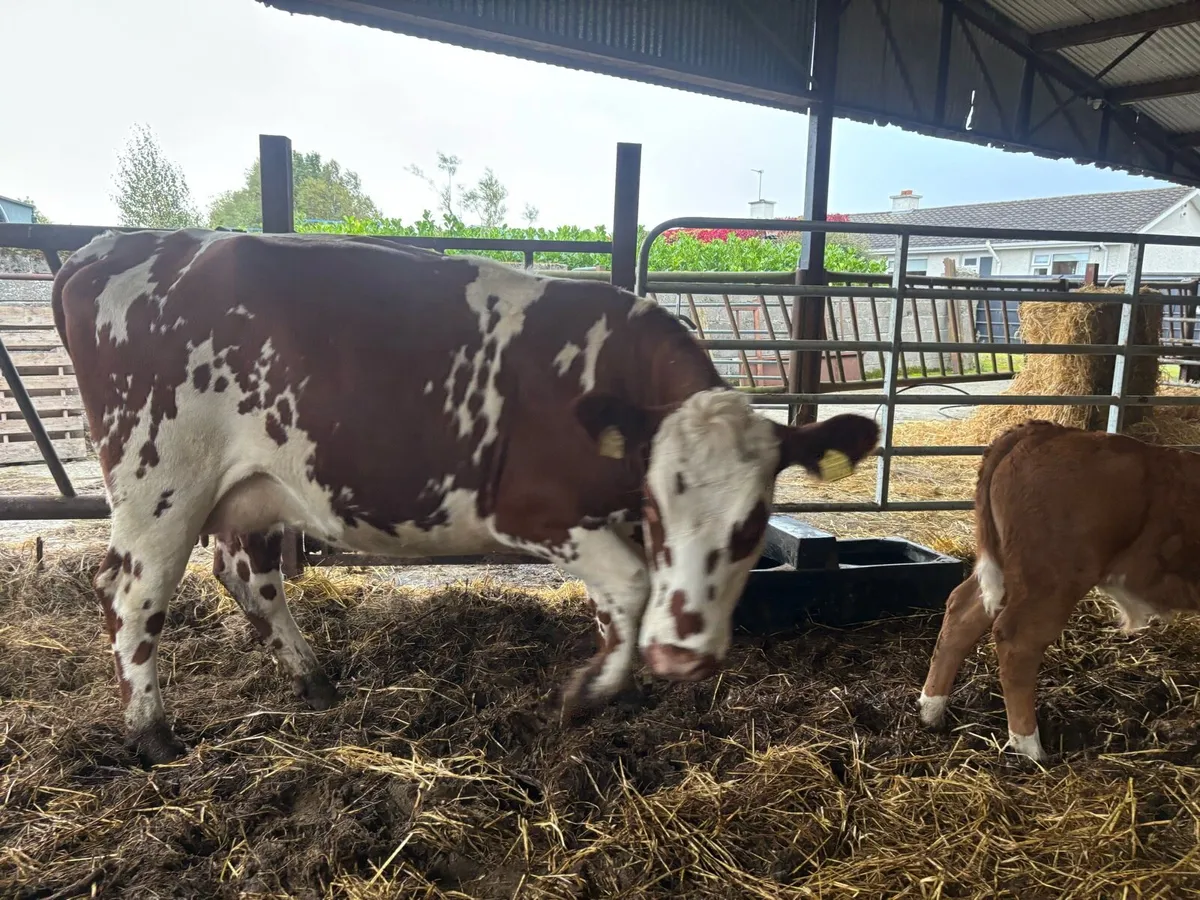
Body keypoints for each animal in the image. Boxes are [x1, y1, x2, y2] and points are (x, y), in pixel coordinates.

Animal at [52, 228, 880, 766]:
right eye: (656, 506)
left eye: (755, 520)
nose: (683, 655)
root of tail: (108, 248)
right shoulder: (536, 509)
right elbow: (635, 585)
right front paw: (587, 693)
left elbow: (618, 602)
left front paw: (614, 680)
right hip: (160, 481)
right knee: (130, 592)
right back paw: (152, 732)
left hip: (249, 488)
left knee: (247, 578)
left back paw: (314, 679)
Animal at [917, 420, 1200, 762]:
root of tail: (1049, 430)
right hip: (1051, 579)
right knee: (1018, 640)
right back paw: (1029, 748)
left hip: (1007, 569)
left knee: (962, 610)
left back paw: (931, 711)